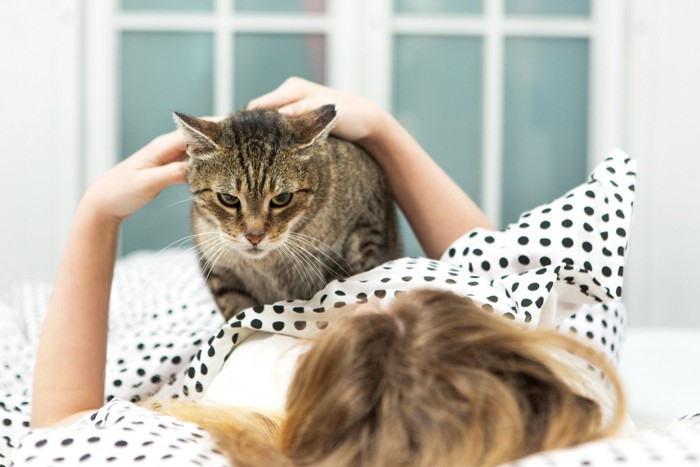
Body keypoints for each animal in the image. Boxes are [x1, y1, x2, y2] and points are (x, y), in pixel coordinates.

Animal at [173, 104, 402, 320]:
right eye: (228, 198)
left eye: (282, 198)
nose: (254, 237)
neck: (267, 263)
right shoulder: (220, 273)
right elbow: (240, 313)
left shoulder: (365, 232)